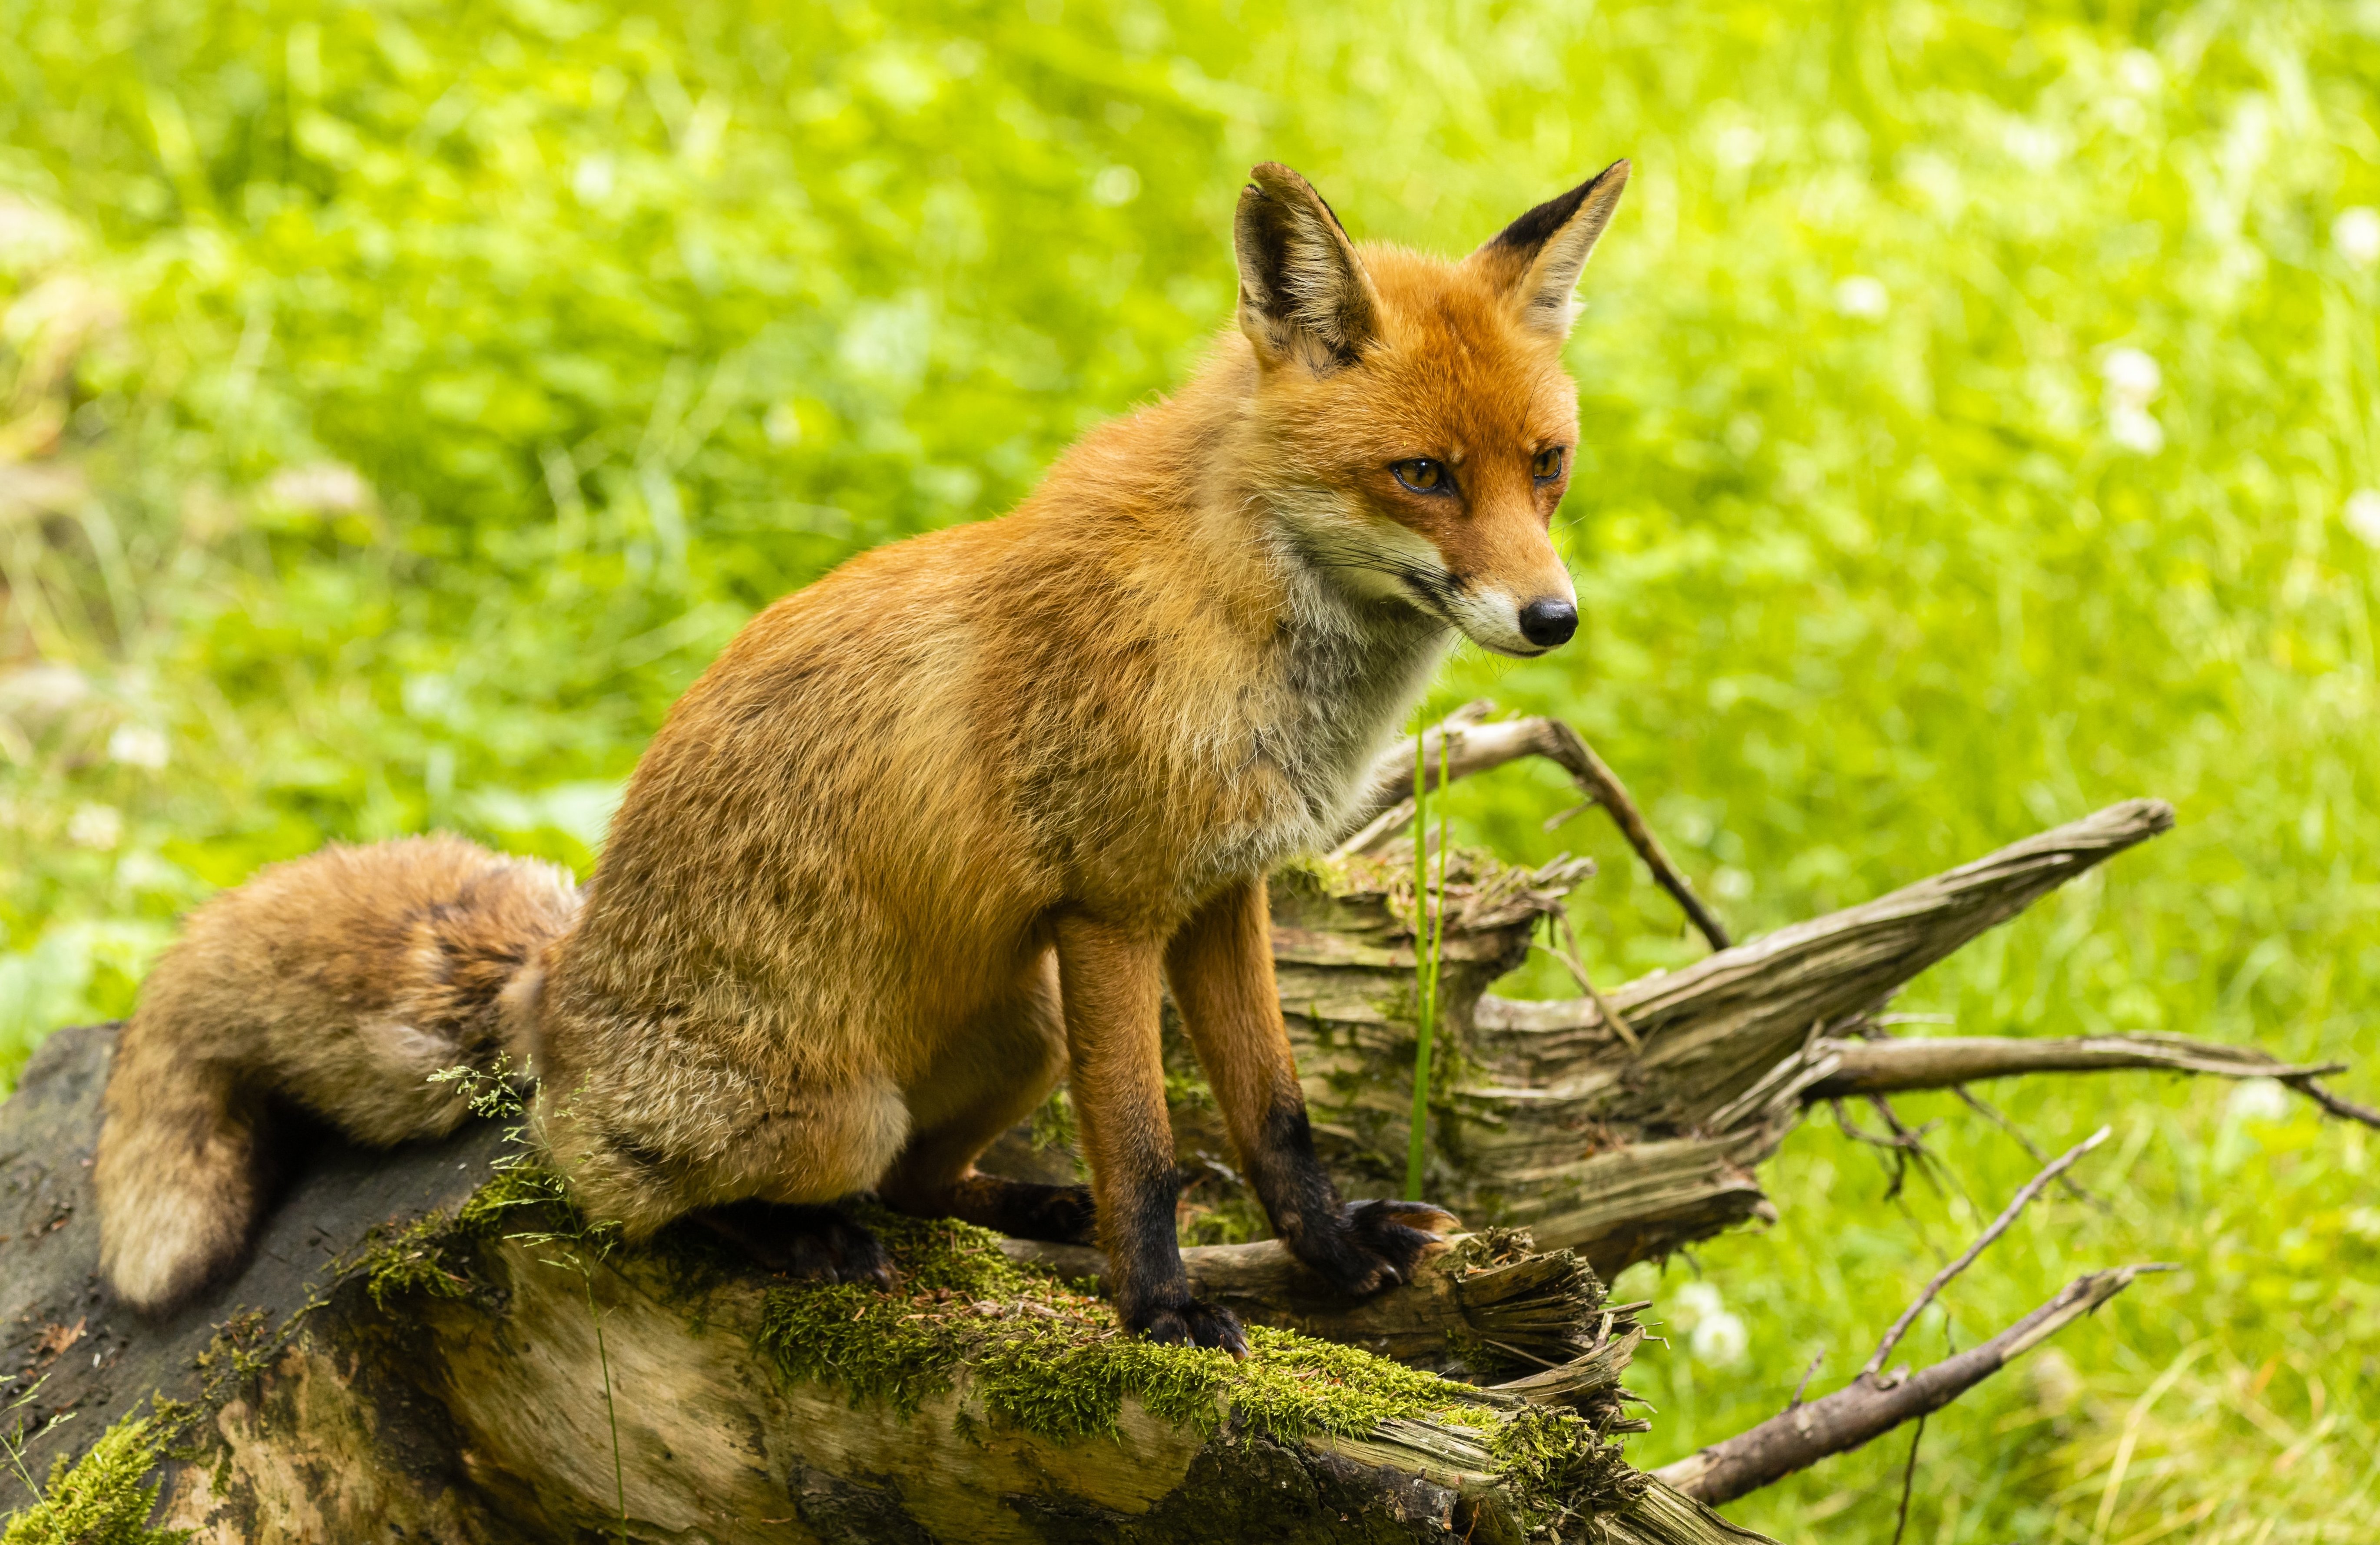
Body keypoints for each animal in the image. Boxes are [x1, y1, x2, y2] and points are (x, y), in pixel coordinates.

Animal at [93, 153, 1628, 1333]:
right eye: (1421, 476)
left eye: (1544, 465)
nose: (1551, 619)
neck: (1239, 604)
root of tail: (552, 985)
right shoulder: (1111, 908)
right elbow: (1145, 1150)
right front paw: (1160, 1311)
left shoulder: (1220, 891)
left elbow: (1273, 1119)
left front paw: (1334, 1252)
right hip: (850, 1101)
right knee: (639, 1207)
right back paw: (802, 1238)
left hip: (1021, 1028)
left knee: (915, 1185)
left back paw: (1020, 1204)